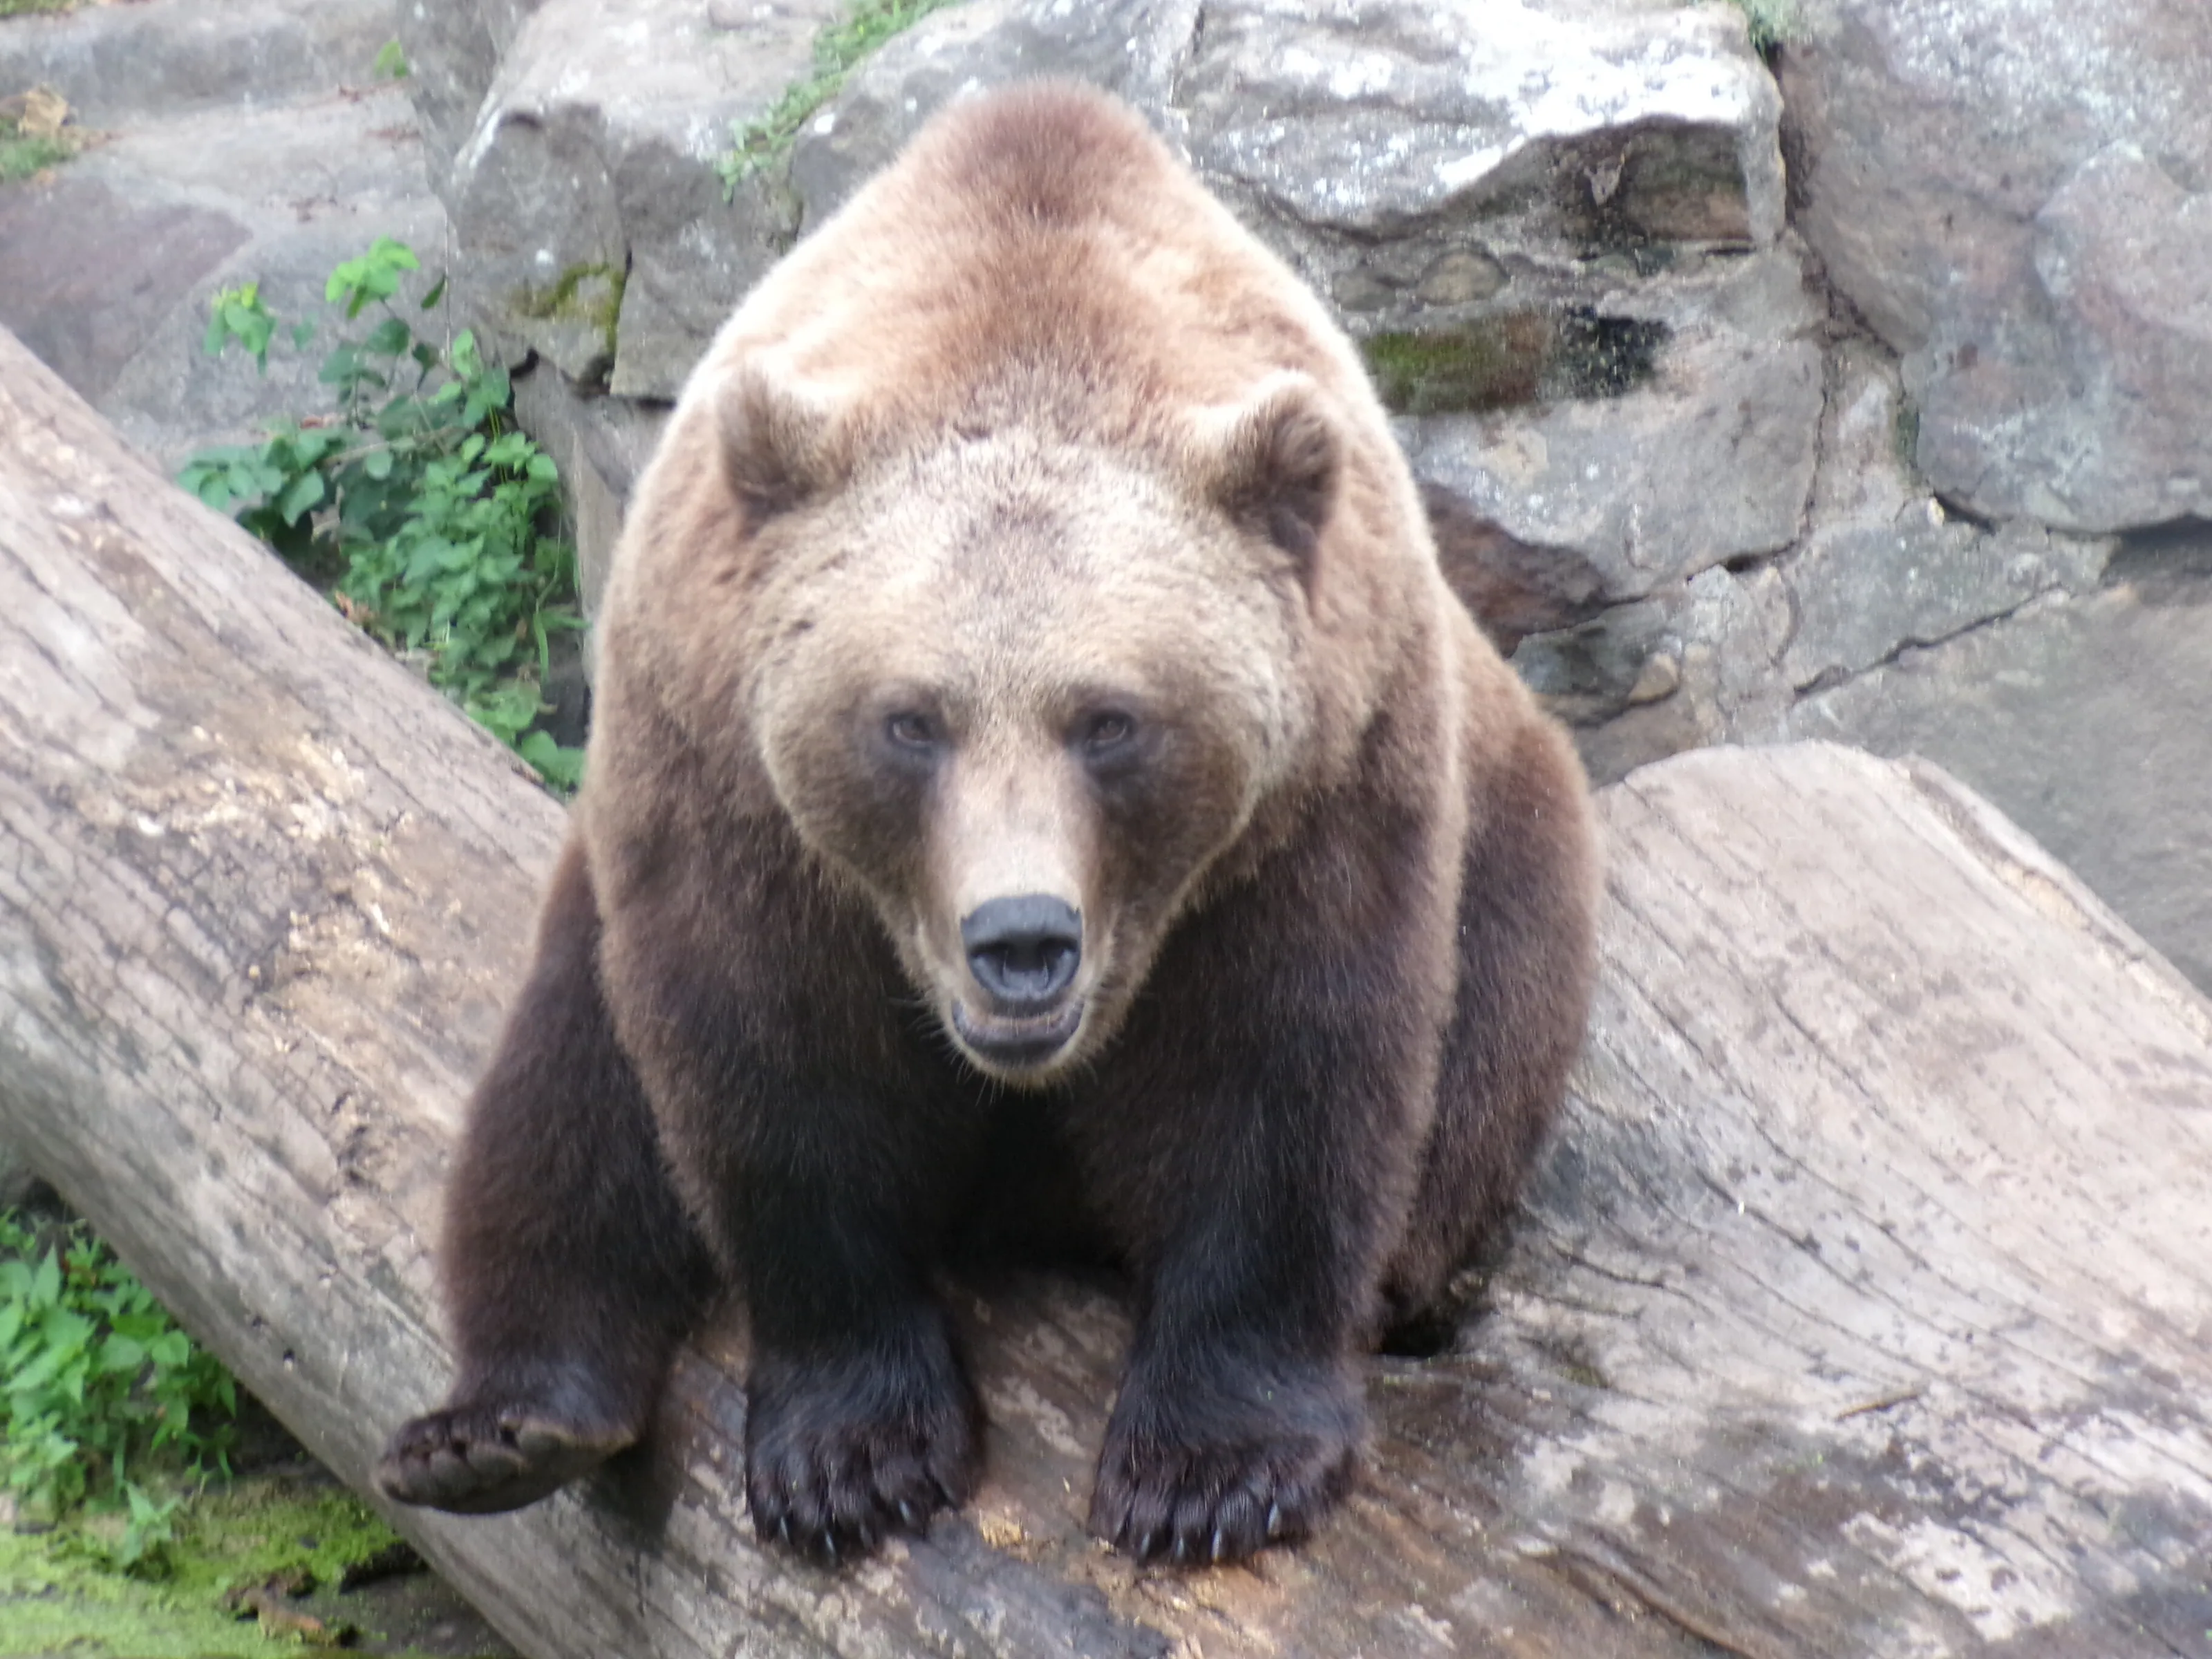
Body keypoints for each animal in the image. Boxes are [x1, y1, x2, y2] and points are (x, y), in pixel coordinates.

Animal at [375, 80, 1598, 1568]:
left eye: (1110, 720)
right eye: (911, 719)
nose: (1022, 940)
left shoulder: (1314, 806)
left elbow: (1280, 1078)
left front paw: (1211, 1472)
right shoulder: (730, 794)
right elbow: (777, 1077)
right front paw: (854, 1456)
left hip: (1519, 842)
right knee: (562, 1086)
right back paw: (501, 1426)